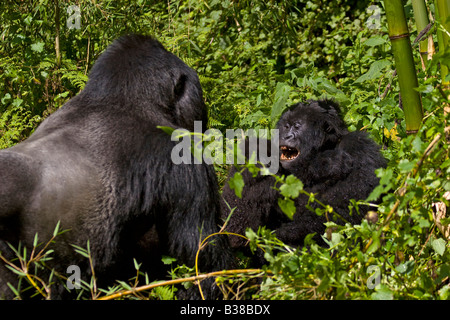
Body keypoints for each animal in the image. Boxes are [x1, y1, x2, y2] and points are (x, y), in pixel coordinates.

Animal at [221, 99, 386, 256]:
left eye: (297, 126)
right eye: (286, 126)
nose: (286, 136)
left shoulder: (359, 144)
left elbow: (349, 202)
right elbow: (234, 218)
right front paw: (325, 164)